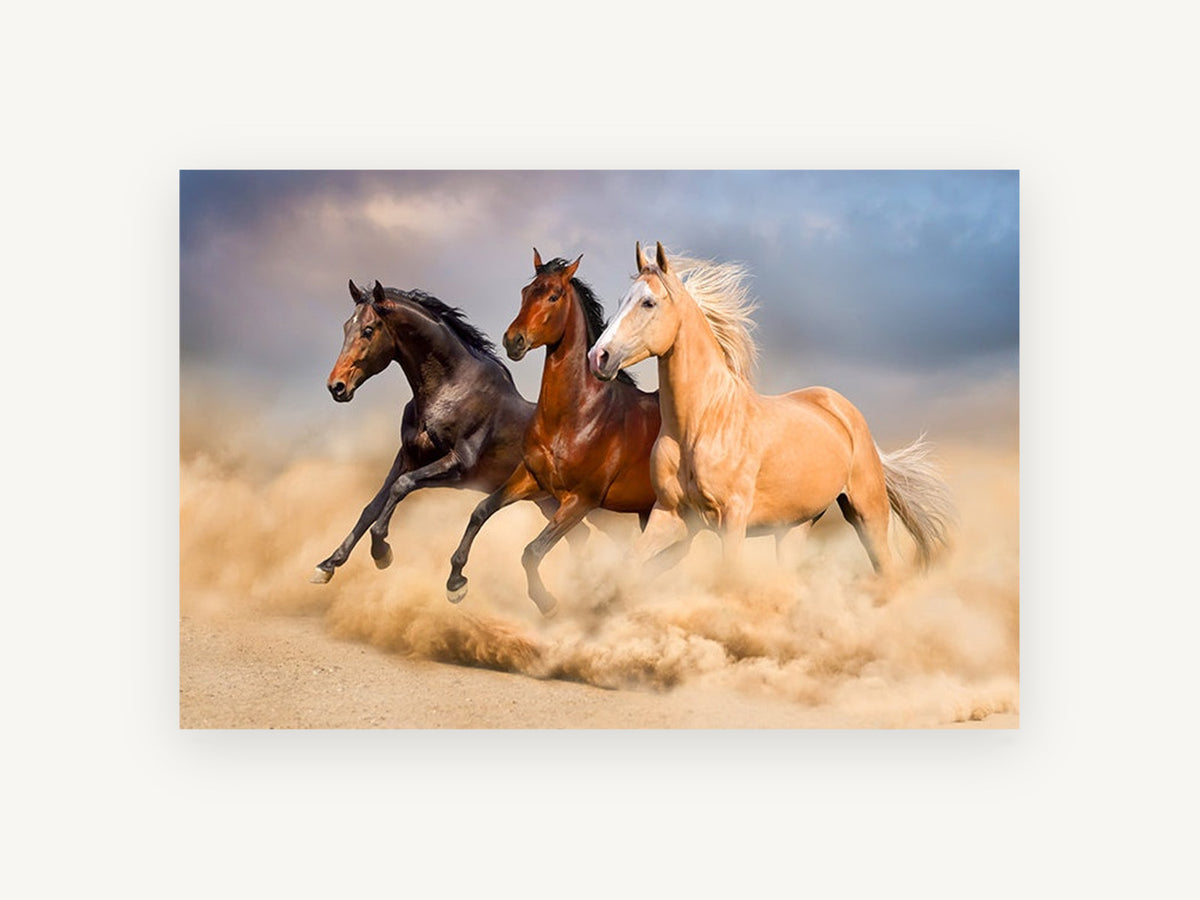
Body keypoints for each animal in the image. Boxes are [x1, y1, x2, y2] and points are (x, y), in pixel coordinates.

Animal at [311, 278, 572, 584]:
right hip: (550, 504)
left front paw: (382, 552)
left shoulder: (457, 465)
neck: (449, 389)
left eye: (367, 330)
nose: (336, 386)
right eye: (345, 327)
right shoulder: (408, 457)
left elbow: (402, 487)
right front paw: (328, 564)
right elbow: (372, 507)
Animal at [444, 250, 662, 616]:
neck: (576, 417)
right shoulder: (531, 478)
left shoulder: (580, 501)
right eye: (525, 291)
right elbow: (481, 511)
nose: (513, 340)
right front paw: (456, 583)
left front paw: (547, 602)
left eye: (554, 296)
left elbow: (532, 551)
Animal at [587, 241, 954, 584]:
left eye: (648, 302)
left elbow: (728, 576)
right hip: (795, 527)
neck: (701, 424)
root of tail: (845, 412)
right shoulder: (671, 515)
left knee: (886, 568)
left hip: (867, 513)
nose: (599, 357)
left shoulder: (731, 518)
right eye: (621, 300)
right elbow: (631, 562)